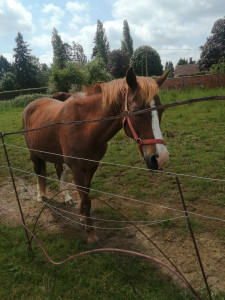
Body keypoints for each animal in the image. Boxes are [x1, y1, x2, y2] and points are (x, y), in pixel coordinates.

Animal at [22, 68, 170, 244]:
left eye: (161, 110)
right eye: (137, 112)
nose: (160, 158)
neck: (84, 126)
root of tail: (30, 105)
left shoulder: (92, 166)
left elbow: (85, 195)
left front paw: (82, 219)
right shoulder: (78, 169)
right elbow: (86, 201)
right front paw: (91, 234)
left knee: (58, 172)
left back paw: (66, 197)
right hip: (33, 153)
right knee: (38, 172)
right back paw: (40, 195)